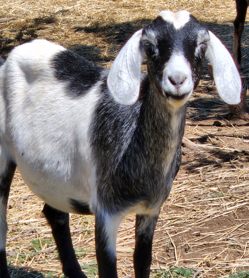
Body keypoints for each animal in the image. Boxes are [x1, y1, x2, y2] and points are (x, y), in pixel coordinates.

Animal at [0, 9, 241, 278]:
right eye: (151, 46)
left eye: (201, 46)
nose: (177, 80)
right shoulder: (106, 211)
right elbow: (108, 267)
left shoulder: (151, 210)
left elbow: (142, 261)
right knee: (2, 224)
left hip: (54, 177)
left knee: (55, 214)